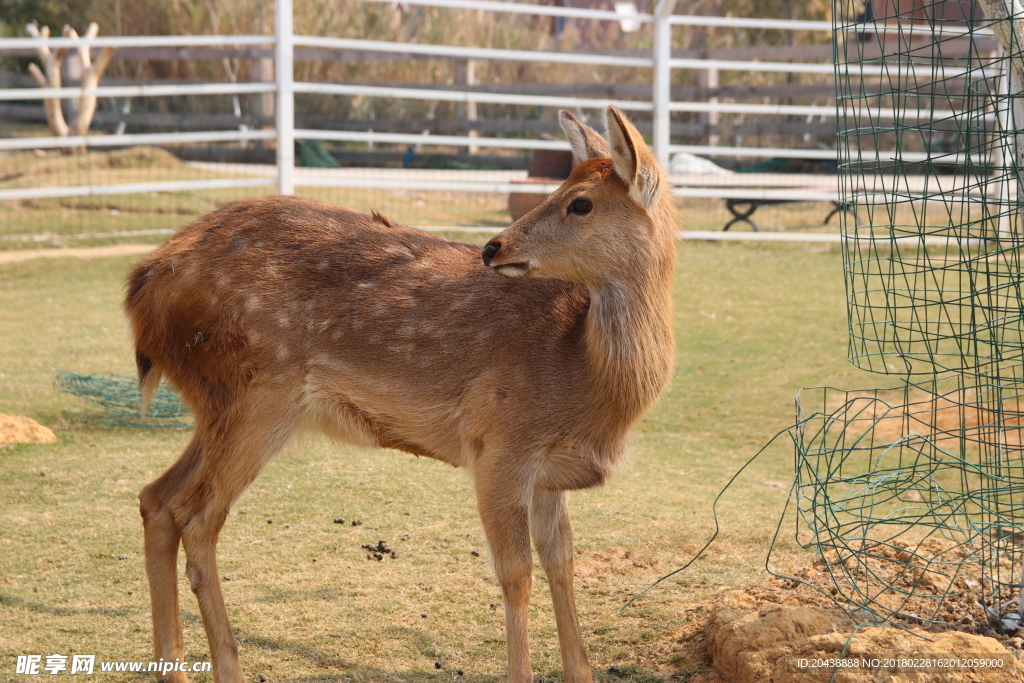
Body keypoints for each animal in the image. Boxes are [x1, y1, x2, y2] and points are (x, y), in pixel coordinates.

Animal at [125, 105, 679, 683]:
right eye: (559, 187)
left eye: (580, 201)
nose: (493, 247)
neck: (585, 381)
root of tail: (141, 286)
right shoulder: (499, 442)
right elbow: (515, 573)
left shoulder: (551, 472)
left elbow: (562, 563)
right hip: (256, 394)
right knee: (196, 516)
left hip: (216, 404)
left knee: (156, 498)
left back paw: (172, 664)